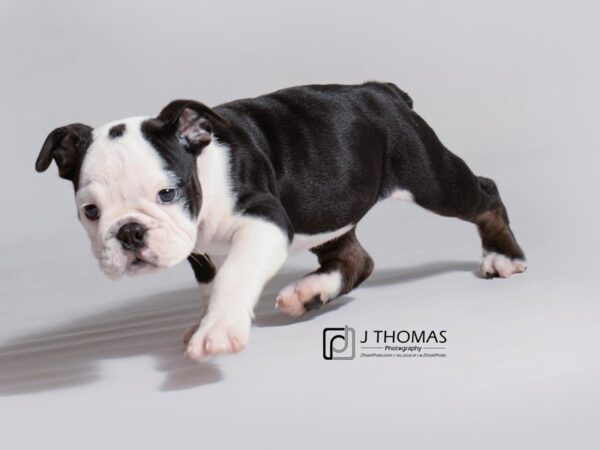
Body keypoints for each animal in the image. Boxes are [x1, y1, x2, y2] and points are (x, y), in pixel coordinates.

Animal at [35, 82, 528, 360]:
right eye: (91, 211)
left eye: (167, 193)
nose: (130, 231)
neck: (202, 165)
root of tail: (380, 89)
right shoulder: (200, 252)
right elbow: (210, 286)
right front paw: (208, 318)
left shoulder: (265, 221)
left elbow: (234, 276)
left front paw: (219, 329)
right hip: (327, 210)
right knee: (357, 258)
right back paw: (310, 292)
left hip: (429, 177)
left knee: (484, 194)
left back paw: (503, 256)